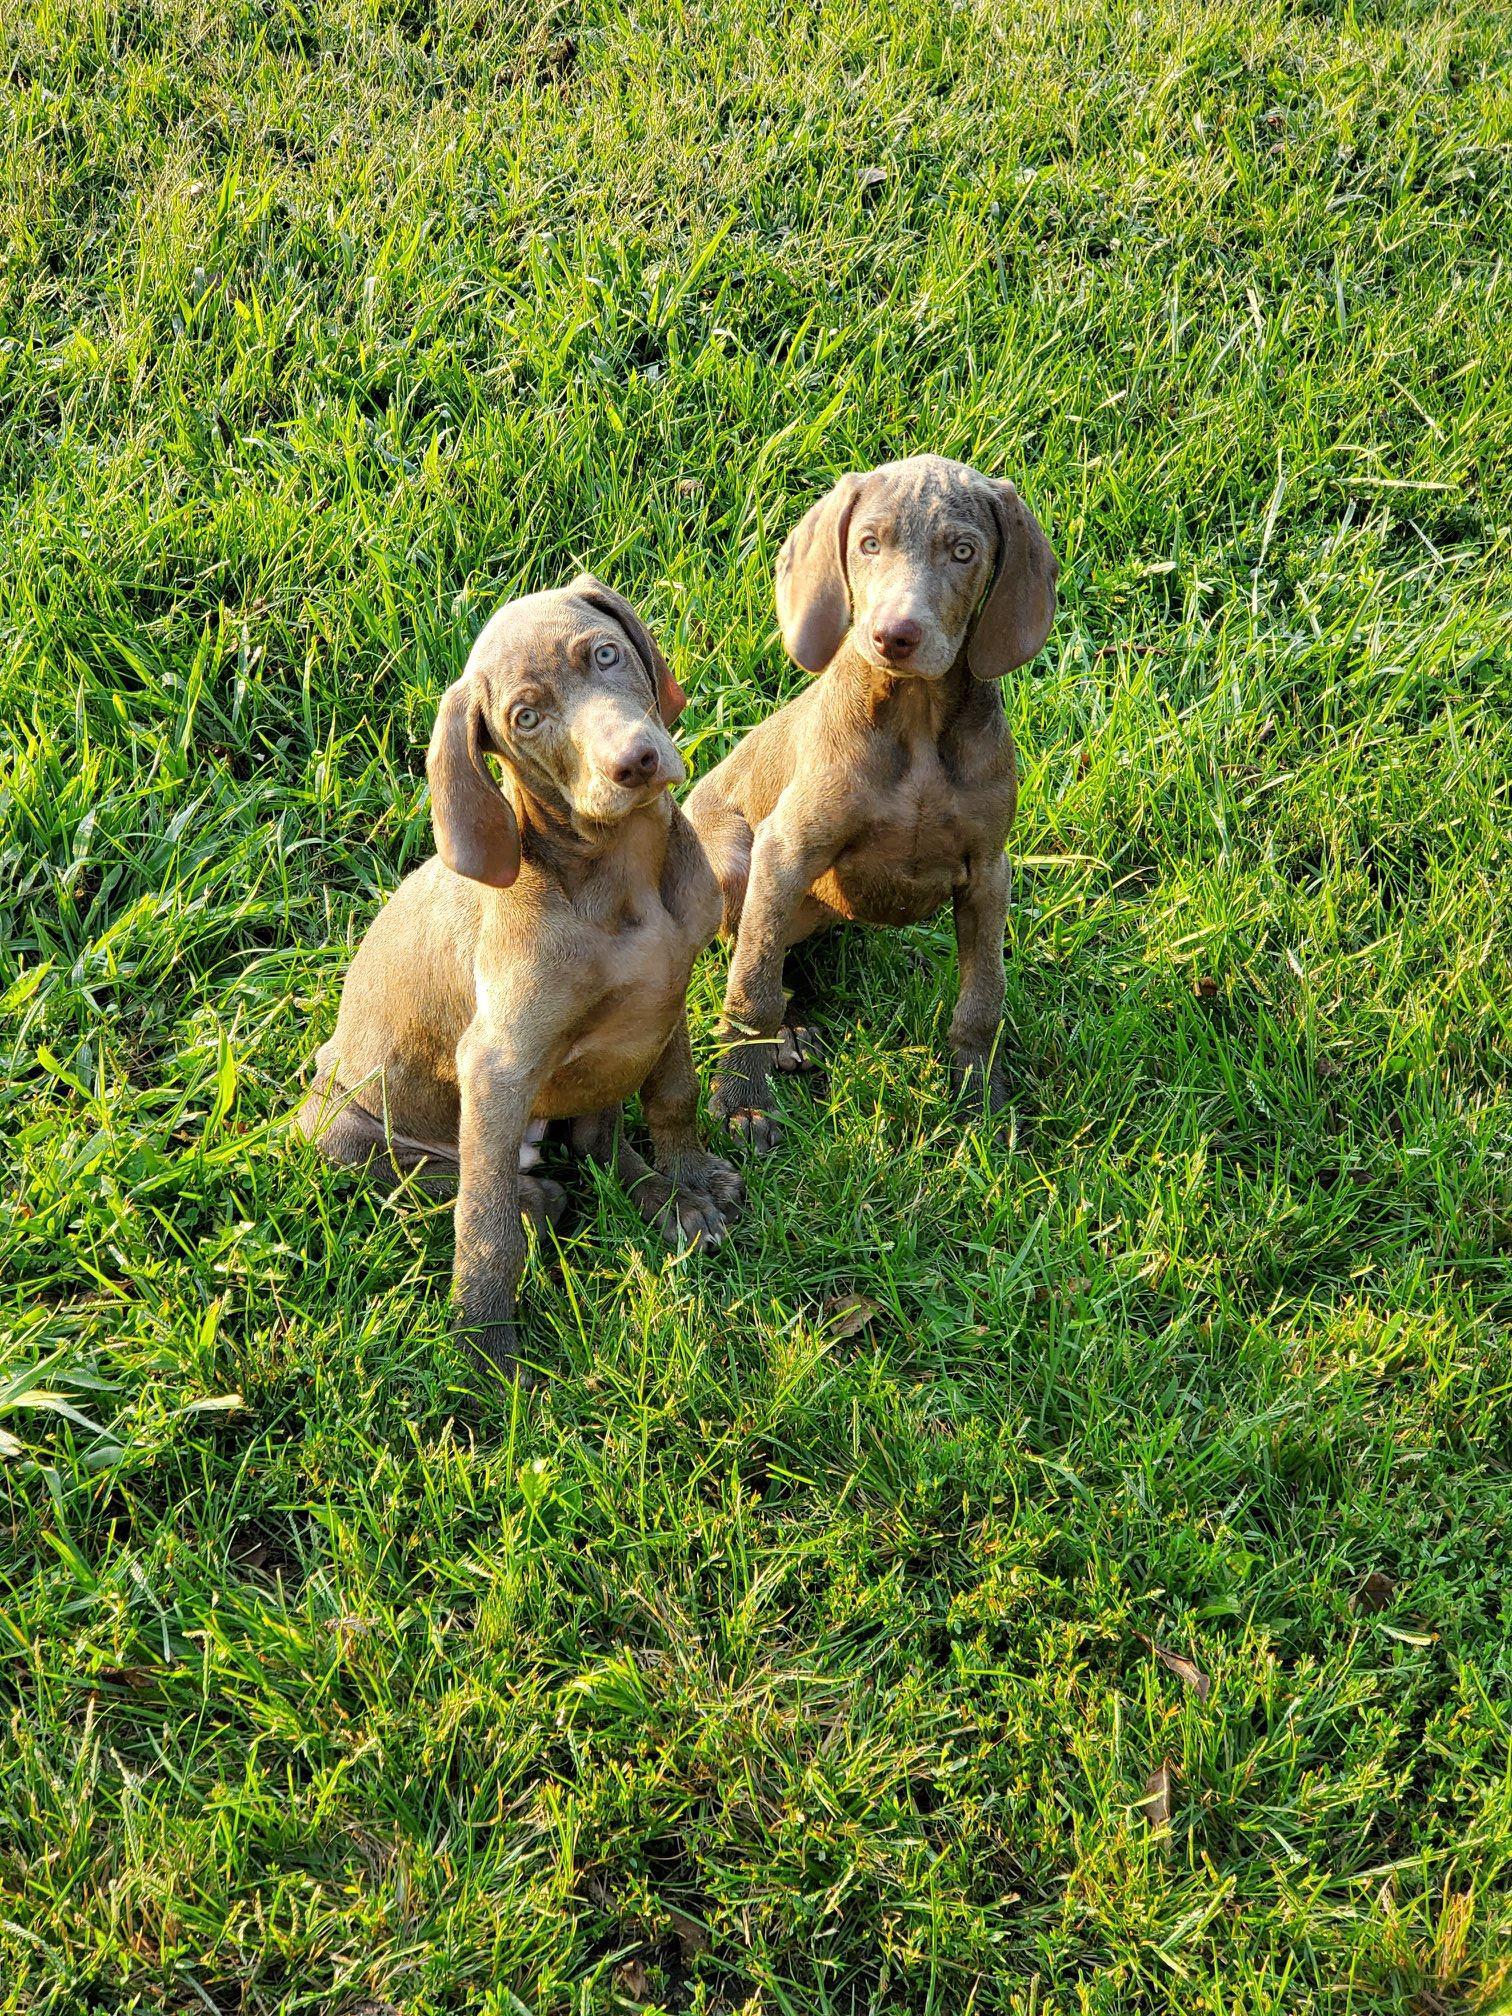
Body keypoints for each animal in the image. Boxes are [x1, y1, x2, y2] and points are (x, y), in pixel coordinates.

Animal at [298, 576, 745, 1378]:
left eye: (605, 655)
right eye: (527, 718)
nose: (634, 761)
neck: (622, 876)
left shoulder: (665, 1002)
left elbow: (673, 1097)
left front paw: (687, 1180)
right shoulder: (497, 1065)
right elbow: (486, 1221)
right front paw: (483, 1347)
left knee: (594, 1144)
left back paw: (662, 1199)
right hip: (342, 1131)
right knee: (487, 1188)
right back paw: (543, 1202)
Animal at [685, 457, 1056, 1153]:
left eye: (963, 551)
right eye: (869, 544)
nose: (893, 635)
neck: (915, 720)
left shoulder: (989, 872)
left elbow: (982, 998)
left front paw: (980, 1099)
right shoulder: (785, 848)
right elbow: (751, 989)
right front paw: (740, 1100)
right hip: (730, 864)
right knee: (758, 953)